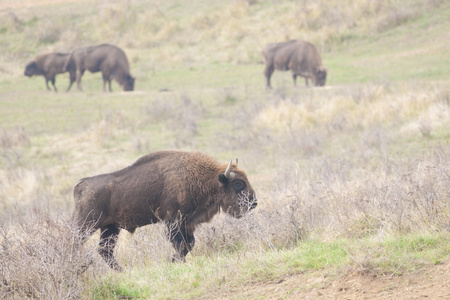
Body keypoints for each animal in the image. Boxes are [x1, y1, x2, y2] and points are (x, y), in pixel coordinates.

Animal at [72, 151, 258, 270]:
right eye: (238, 183)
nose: (253, 202)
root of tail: (82, 185)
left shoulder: (186, 223)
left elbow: (189, 244)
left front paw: (174, 261)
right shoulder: (172, 222)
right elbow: (181, 245)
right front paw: (175, 261)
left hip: (110, 228)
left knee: (105, 250)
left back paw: (121, 271)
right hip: (87, 224)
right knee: (75, 242)